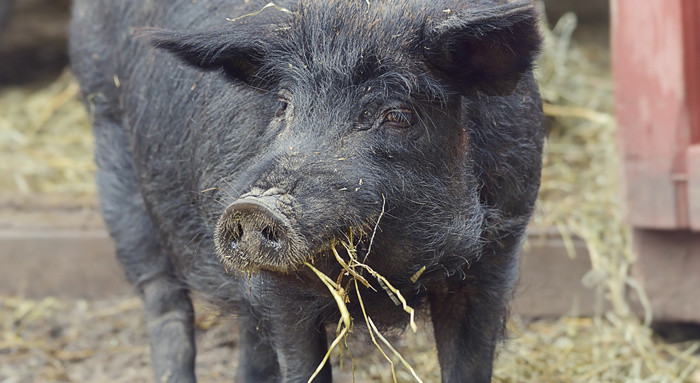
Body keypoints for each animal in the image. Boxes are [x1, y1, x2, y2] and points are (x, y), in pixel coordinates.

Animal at [69, 1, 540, 382]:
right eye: (283, 105)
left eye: (396, 114)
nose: (252, 207)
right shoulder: (281, 294)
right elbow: (299, 363)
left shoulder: (495, 258)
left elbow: (470, 363)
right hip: (111, 146)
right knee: (164, 303)